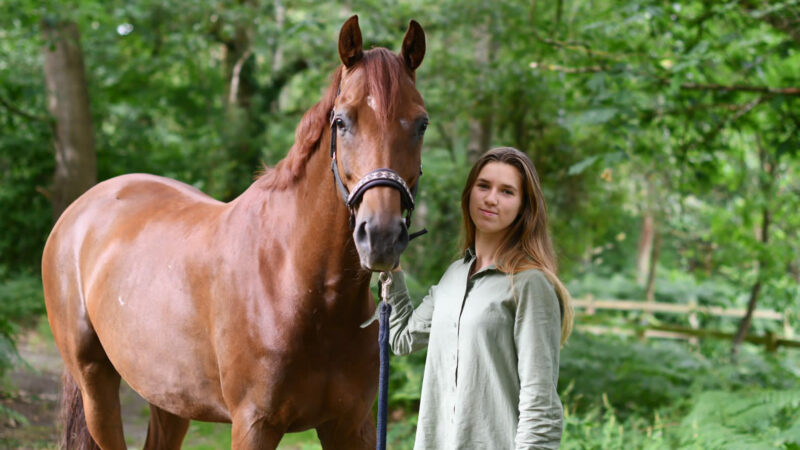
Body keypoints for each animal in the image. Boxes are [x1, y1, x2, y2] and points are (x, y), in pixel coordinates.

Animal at [40, 15, 428, 448]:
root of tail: (79, 211)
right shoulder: (254, 423)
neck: (295, 282)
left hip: (169, 395)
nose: (381, 235)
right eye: (342, 121)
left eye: (421, 124)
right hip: (96, 384)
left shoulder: (349, 423)